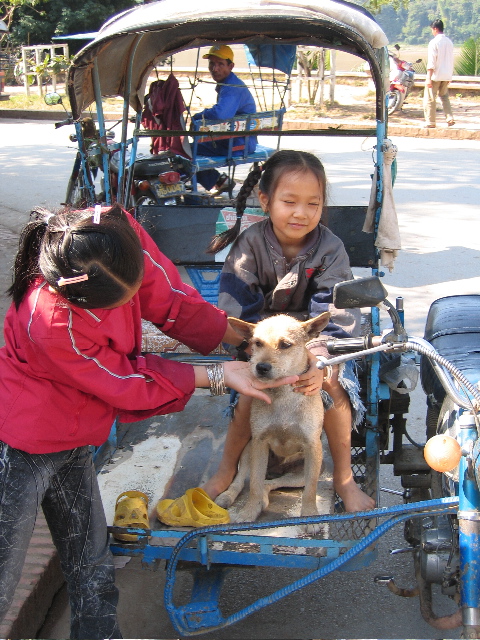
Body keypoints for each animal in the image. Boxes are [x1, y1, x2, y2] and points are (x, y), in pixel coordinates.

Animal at [217, 312, 330, 524]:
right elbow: (253, 485)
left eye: (285, 345)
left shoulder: (313, 446)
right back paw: (228, 495)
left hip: (302, 472)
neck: (282, 395)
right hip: (248, 450)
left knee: (272, 483)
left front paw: (309, 514)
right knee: (244, 479)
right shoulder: (259, 442)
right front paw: (249, 511)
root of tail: (276, 469)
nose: (261, 367)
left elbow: (310, 489)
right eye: (257, 343)